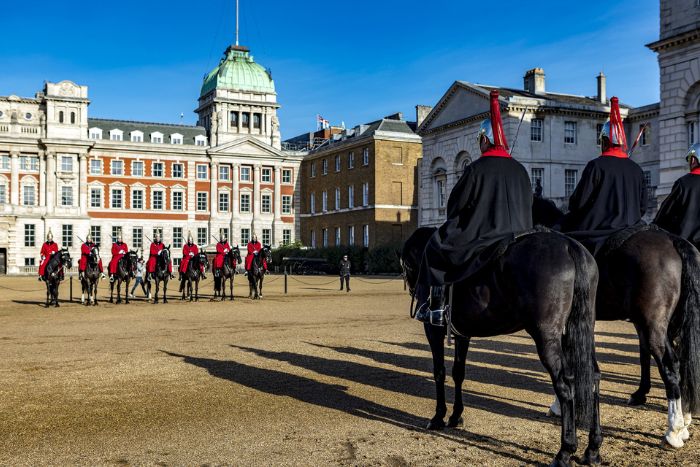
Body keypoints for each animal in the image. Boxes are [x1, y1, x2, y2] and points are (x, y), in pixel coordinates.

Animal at [402, 228, 604, 467]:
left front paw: (438, 417)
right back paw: (592, 449)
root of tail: (568, 245)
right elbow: (458, 372)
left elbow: (439, 372)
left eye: (407, 266)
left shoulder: (433, 331)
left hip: (547, 338)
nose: (413, 289)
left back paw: (565, 451)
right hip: (581, 331)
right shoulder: (462, 334)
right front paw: (455, 416)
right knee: (592, 377)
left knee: (565, 384)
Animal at [532, 199, 700, 448]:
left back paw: (674, 430)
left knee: (671, 366)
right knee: (684, 362)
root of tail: (672, 239)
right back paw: (685, 418)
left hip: (653, 325)